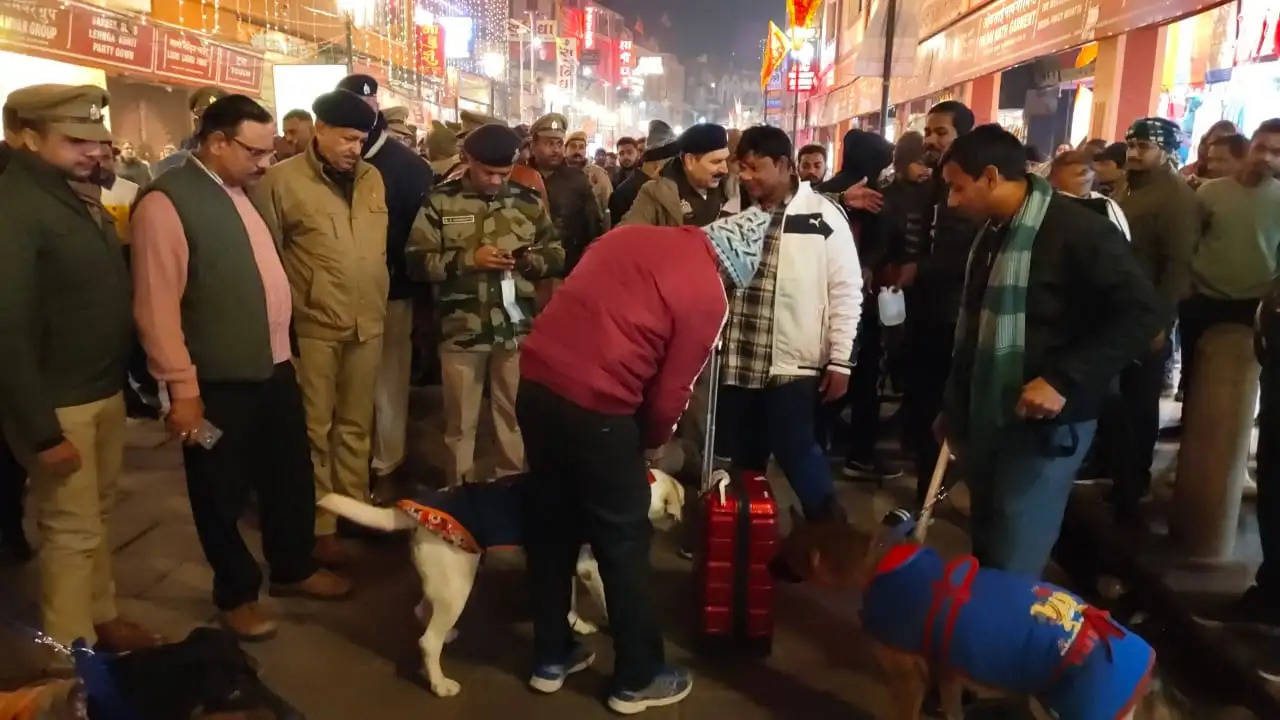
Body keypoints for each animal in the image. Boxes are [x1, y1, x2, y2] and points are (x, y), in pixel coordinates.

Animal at [316, 468, 686, 691]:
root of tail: (415, 512)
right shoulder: (588, 566)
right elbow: (606, 598)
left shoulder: (566, 563)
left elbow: (568, 601)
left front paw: (576, 623)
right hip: (458, 588)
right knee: (427, 641)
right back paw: (440, 684)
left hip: (444, 584)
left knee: (423, 614)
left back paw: (446, 638)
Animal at [768, 509, 1172, 717]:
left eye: (784, 556)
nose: (767, 567)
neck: (878, 556)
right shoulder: (947, 673)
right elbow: (951, 707)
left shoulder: (909, 680)